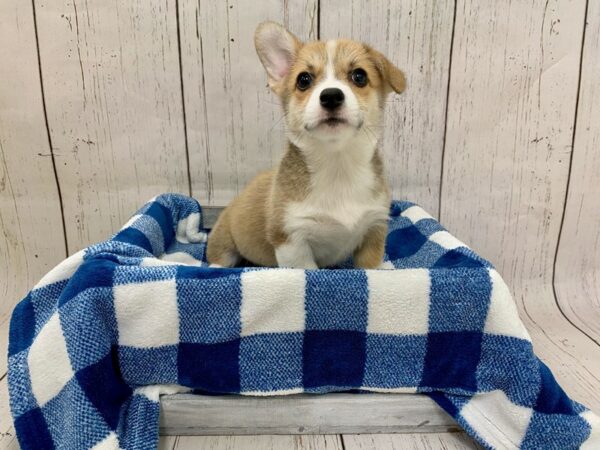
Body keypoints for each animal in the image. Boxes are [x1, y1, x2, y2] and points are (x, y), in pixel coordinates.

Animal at [204, 21, 406, 268]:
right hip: (224, 241)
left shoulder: (373, 229)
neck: (337, 165)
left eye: (359, 76)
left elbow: (372, 267)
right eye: (303, 80)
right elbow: (306, 268)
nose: (331, 96)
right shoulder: (292, 240)